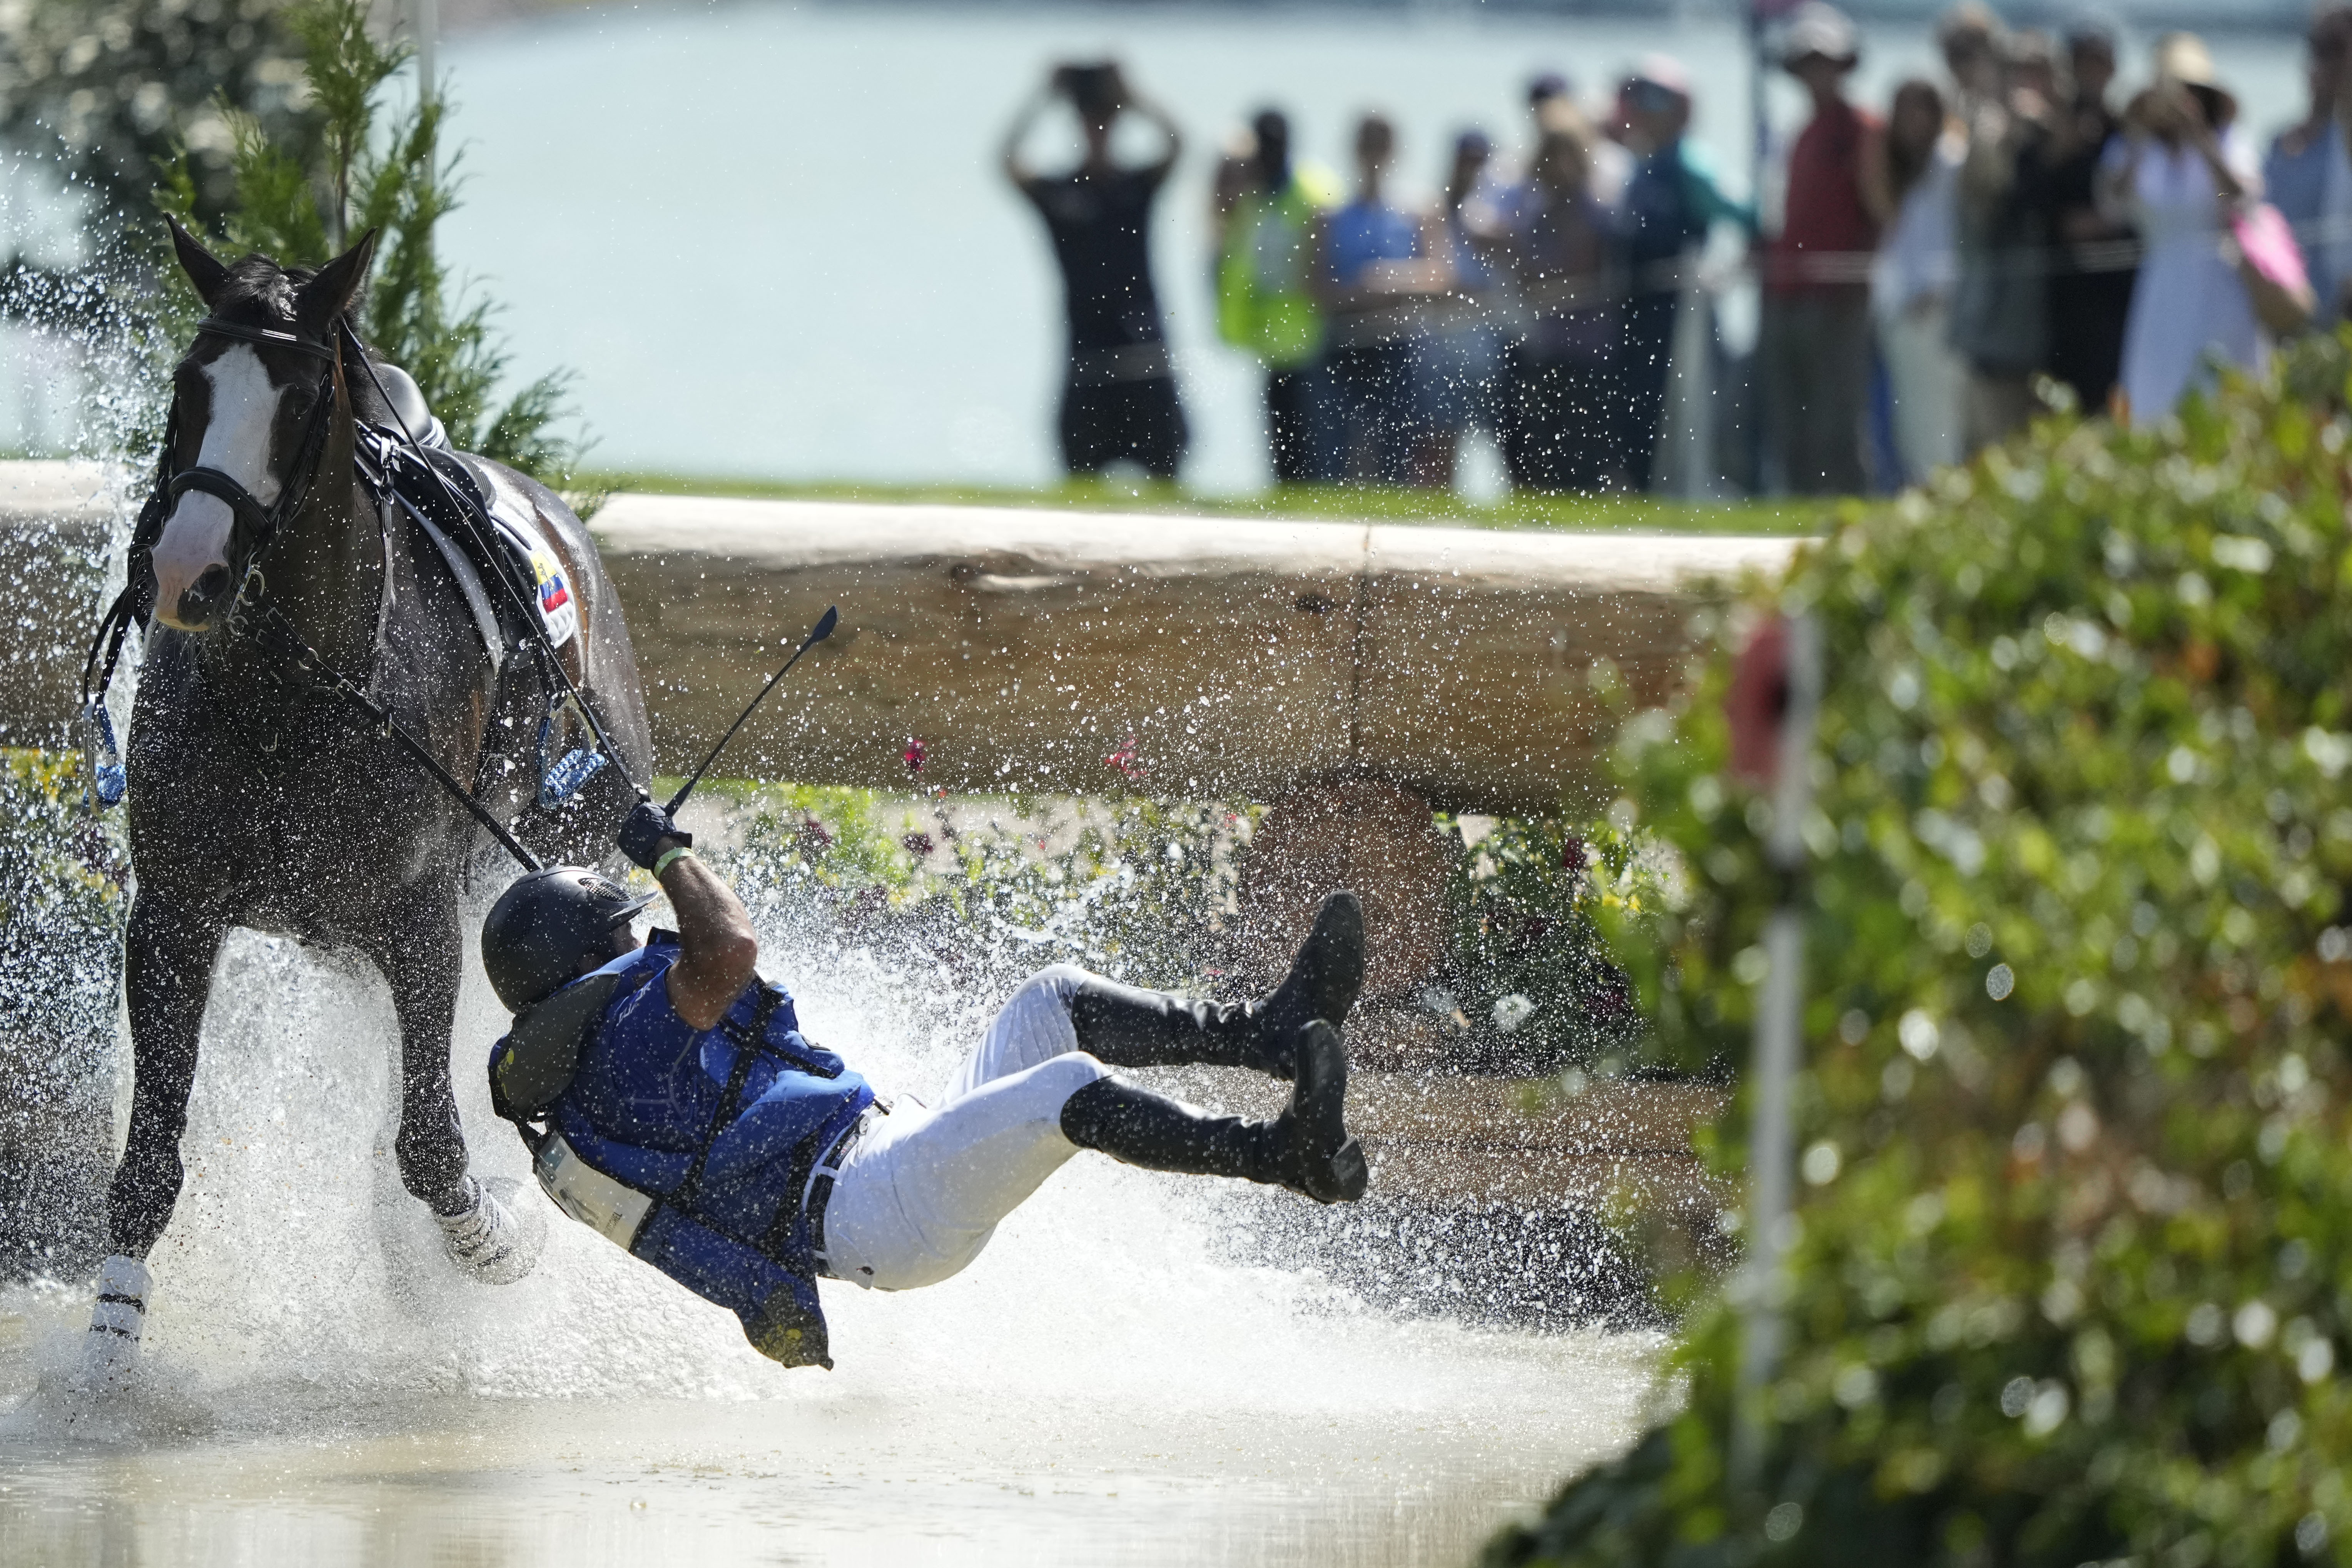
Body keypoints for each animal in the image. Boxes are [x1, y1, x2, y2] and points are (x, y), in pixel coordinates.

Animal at [99, 223, 653, 1299]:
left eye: (298, 402)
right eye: (190, 385)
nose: (187, 569)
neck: (292, 698)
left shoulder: (422, 924)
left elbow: (433, 1147)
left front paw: (505, 1235)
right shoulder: (176, 915)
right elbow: (147, 1169)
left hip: (576, 839)